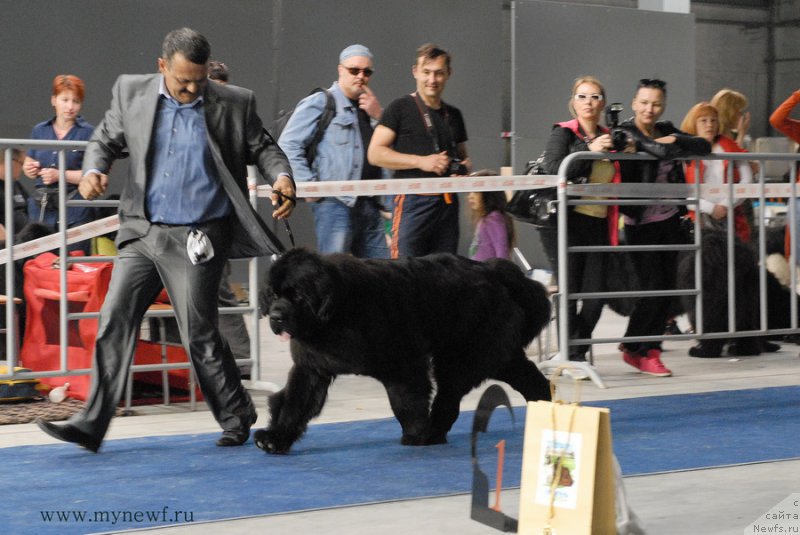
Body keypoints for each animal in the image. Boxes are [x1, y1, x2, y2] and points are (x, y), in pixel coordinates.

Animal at [253, 249, 552, 454]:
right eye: (274, 294)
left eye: (297, 295)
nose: (276, 316)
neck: (337, 312)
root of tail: (493, 271)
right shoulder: (312, 367)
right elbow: (296, 403)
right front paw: (276, 438)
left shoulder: (402, 363)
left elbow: (405, 401)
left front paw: (415, 433)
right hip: (492, 353)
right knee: (529, 379)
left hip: (466, 354)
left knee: (449, 395)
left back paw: (431, 432)